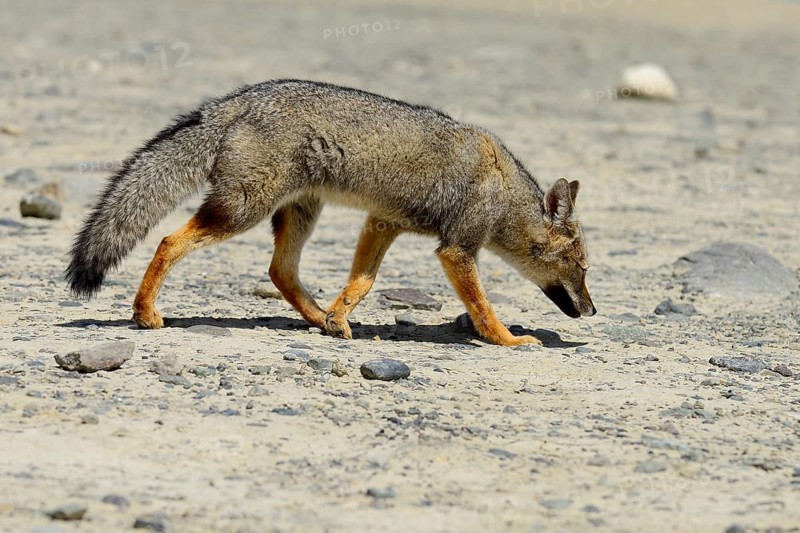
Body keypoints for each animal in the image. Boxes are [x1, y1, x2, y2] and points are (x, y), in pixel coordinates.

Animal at [66, 79, 596, 346]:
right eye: (583, 267)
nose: (593, 311)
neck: (502, 186)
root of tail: (234, 100)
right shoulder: (456, 250)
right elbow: (482, 306)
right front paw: (508, 340)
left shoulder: (382, 222)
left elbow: (362, 282)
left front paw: (339, 318)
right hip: (243, 210)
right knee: (168, 240)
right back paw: (145, 313)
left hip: (300, 212)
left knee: (280, 271)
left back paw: (319, 318)